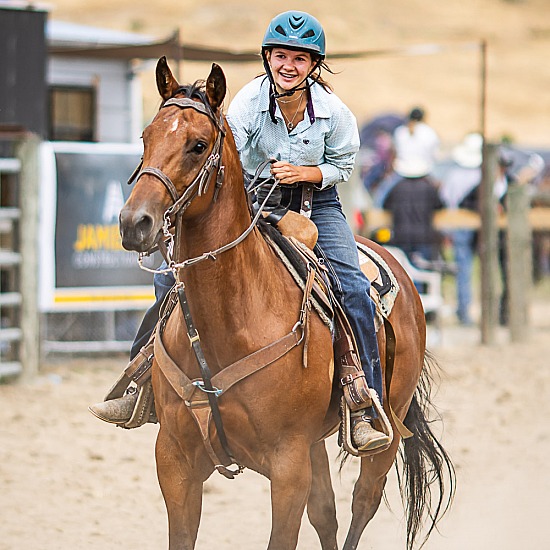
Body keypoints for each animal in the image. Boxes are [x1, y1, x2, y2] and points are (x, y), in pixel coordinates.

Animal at [118, 57, 454, 550]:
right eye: (146, 137)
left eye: (198, 145)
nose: (134, 223)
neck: (232, 321)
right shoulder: (175, 461)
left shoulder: (287, 465)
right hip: (314, 446)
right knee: (326, 514)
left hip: (386, 428)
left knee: (361, 504)